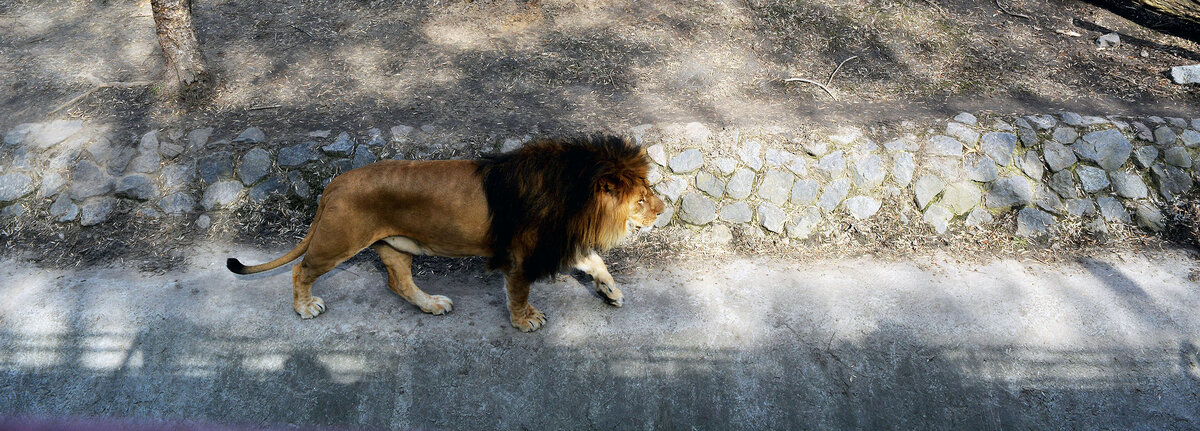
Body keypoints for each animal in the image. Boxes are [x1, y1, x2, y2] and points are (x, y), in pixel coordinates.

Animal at [225, 136, 667, 333]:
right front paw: (525, 320)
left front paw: (610, 292)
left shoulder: (554, 238)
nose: (663, 211)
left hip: (392, 246)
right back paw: (305, 307)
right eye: (643, 198)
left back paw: (432, 304)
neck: (575, 198)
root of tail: (334, 183)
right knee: (301, 270)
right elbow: (520, 290)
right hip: (339, 240)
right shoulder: (522, 253)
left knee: (398, 282)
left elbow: (595, 261)